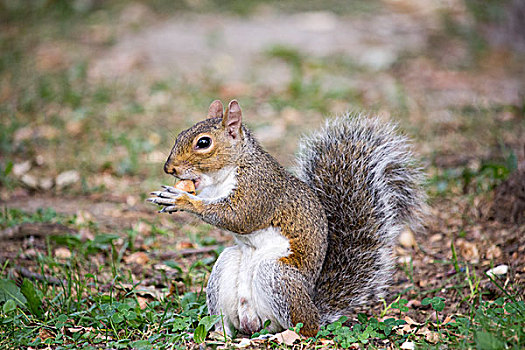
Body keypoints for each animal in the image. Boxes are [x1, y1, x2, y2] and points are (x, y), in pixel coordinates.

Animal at [145, 100, 424, 338]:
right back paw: (219, 335)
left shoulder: (259, 190)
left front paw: (182, 200)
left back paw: (282, 334)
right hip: (227, 266)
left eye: (203, 143)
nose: (169, 168)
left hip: (276, 275)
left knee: (303, 328)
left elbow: (238, 216)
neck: (226, 173)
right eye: (180, 134)